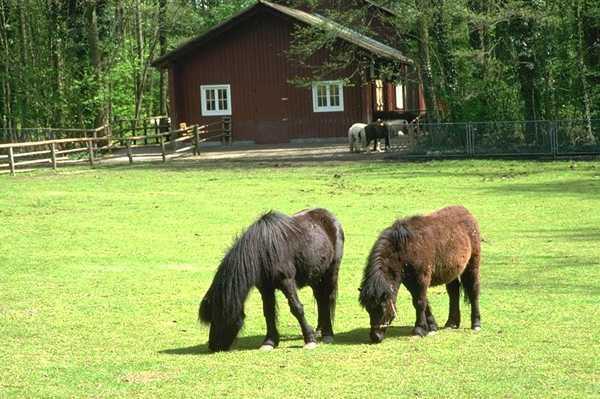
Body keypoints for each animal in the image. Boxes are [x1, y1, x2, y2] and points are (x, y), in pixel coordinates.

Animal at [200, 208, 344, 352]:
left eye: (217, 316)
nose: (213, 345)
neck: (263, 251)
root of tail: (330, 216)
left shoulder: (287, 281)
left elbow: (297, 308)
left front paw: (309, 340)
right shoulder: (265, 288)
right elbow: (268, 312)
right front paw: (269, 342)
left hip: (331, 271)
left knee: (328, 298)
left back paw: (327, 334)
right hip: (315, 276)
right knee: (320, 299)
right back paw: (320, 330)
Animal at [358, 206, 480, 344]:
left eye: (382, 308)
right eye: (368, 309)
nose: (375, 336)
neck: (404, 249)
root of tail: (467, 213)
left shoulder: (421, 279)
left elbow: (419, 302)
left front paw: (419, 330)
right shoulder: (411, 282)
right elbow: (423, 302)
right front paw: (432, 327)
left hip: (472, 265)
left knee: (473, 290)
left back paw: (476, 324)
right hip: (451, 272)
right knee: (453, 292)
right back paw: (452, 323)